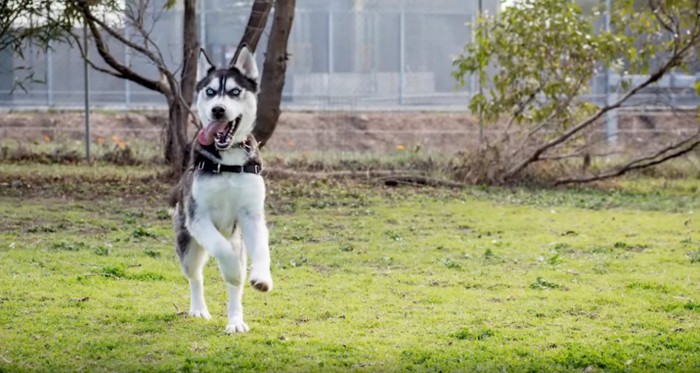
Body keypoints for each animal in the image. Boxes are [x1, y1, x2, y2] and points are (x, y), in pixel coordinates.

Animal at [170, 45, 274, 332]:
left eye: (235, 92)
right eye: (210, 91)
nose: (218, 109)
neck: (228, 161)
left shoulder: (251, 216)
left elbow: (261, 249)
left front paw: (261, 276)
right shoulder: (198, 218)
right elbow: (221, 249)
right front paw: (235, 270)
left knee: (234, 288)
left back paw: (235, 320)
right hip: (187, 245)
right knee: (195, 276)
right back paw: (199, 308)